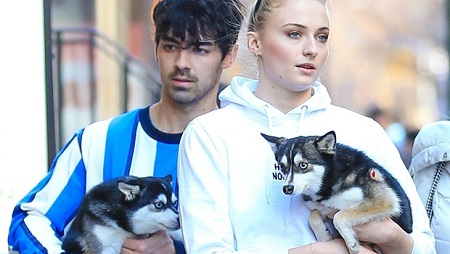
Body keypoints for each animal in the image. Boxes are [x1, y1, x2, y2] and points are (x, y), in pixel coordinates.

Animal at [262, 131, 414, 254]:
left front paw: (350, 240)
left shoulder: (383, 199)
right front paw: (324, 236)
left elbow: (339, 216)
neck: (330, 178)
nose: (287, 188)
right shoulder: (324, 206)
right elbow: (313, 217)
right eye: (282, 167)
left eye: (303, 165)